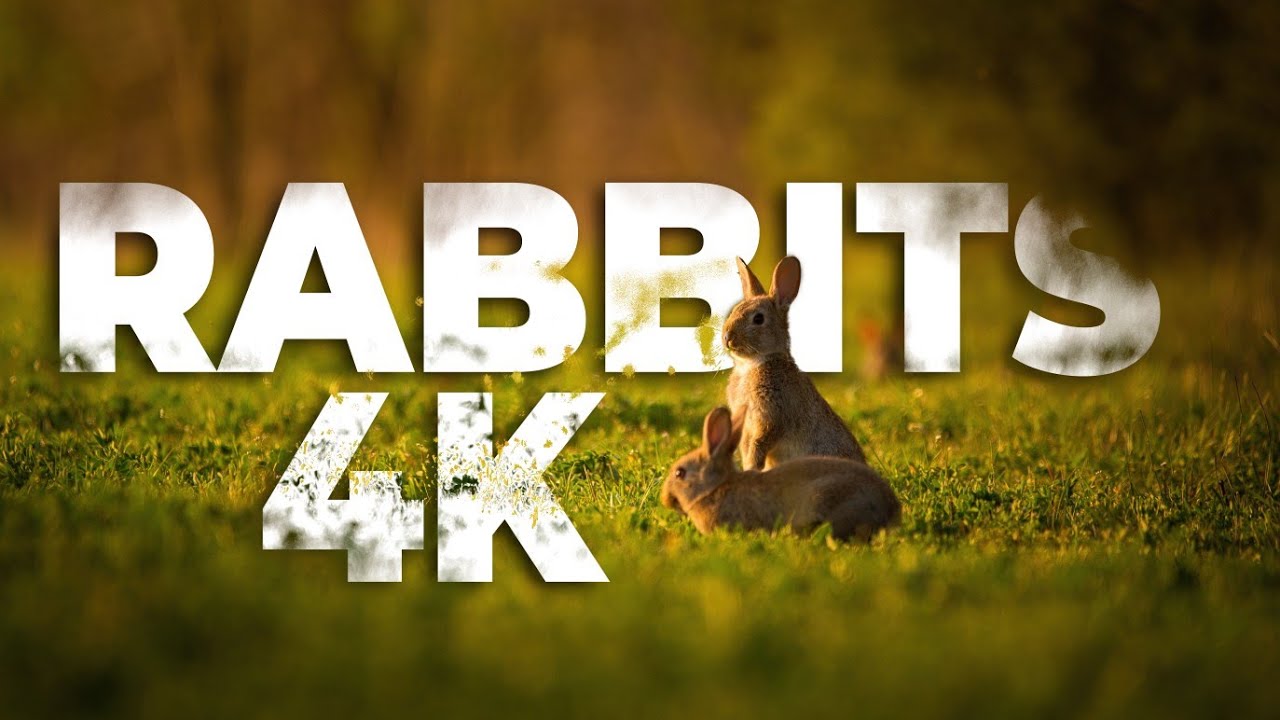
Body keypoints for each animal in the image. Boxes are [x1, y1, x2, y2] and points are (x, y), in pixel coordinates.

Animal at [724, 255, 866, 470]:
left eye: (758, 319)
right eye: (734, 311)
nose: (727, 338)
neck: (754, 363)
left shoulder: (771, 417)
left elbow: (759, 444)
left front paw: (751, 468)